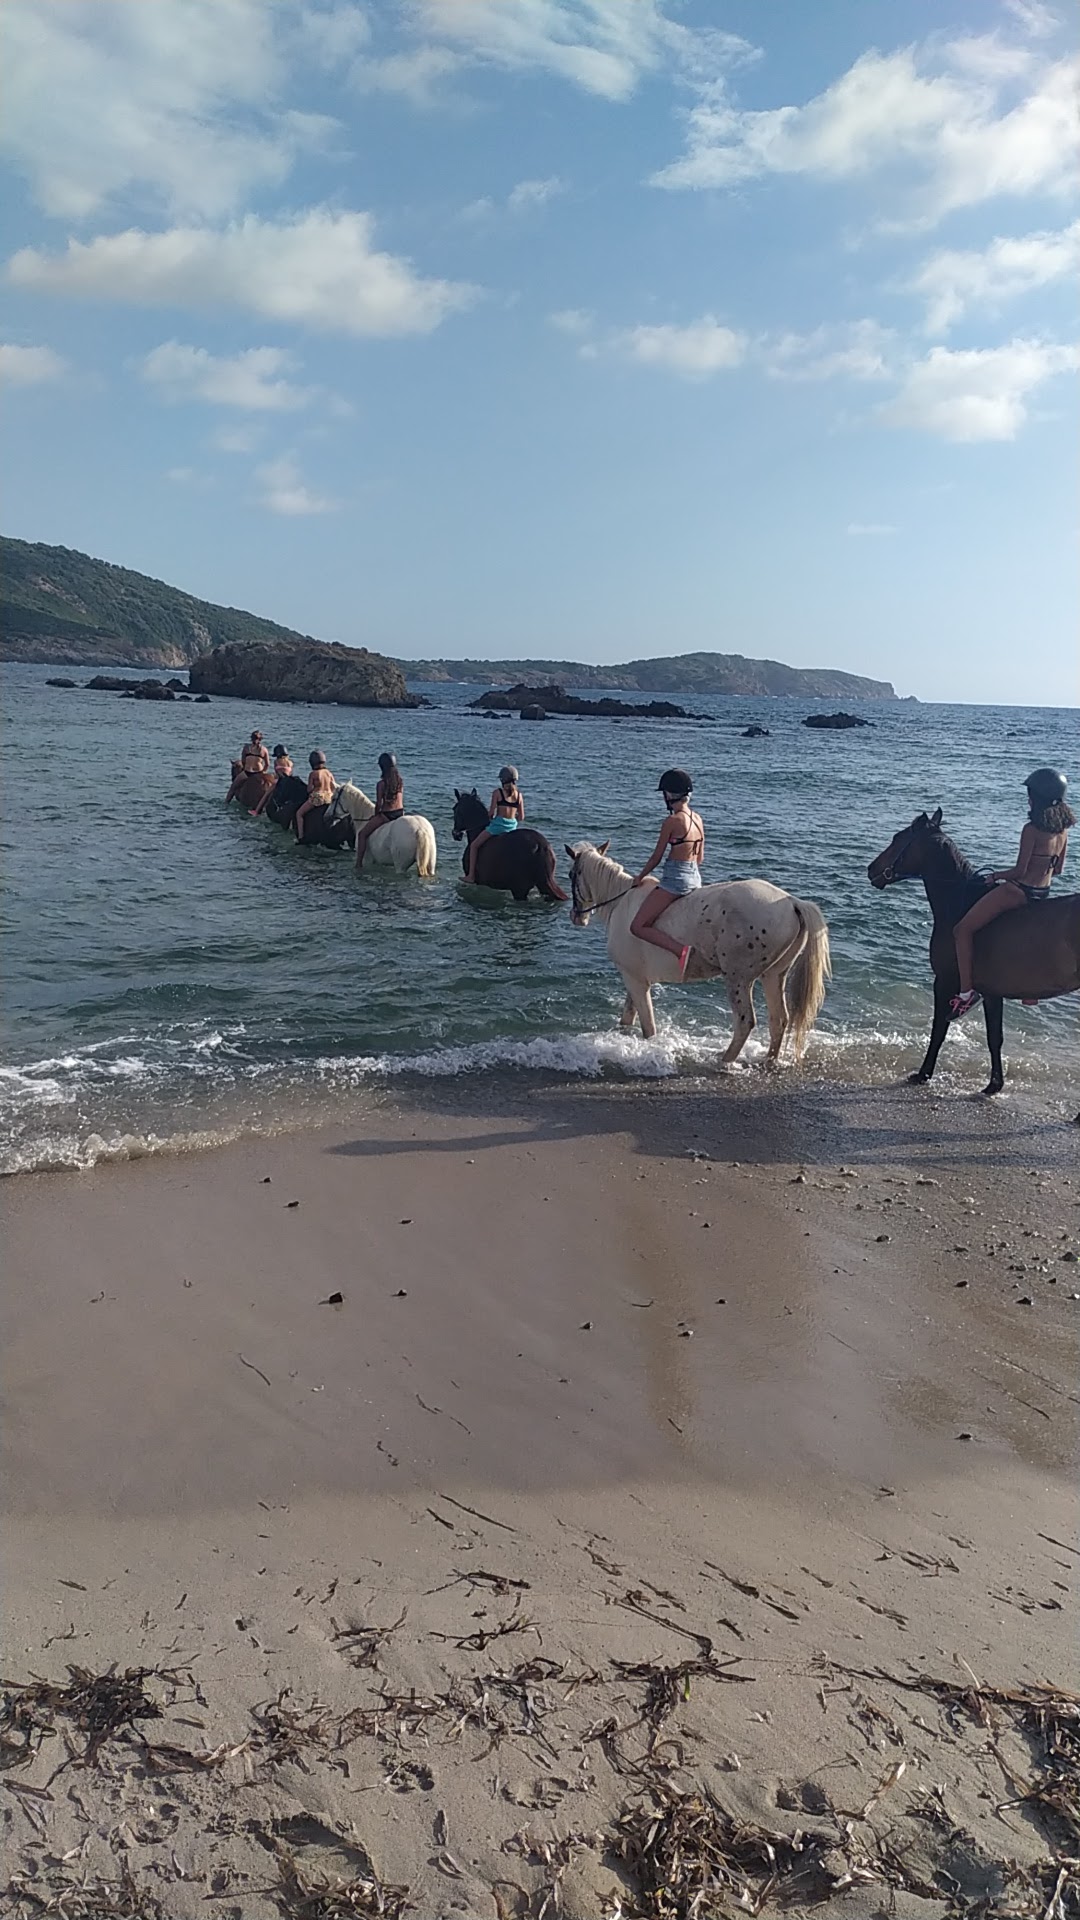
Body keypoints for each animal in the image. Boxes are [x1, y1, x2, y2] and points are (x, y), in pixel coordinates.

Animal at [566, 841, 830, 1064]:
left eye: (570, 874)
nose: (577, 917)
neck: (621, 903)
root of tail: (791, 902)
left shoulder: (635, 980)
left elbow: (648, 1027)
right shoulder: (636, 979)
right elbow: (628, 1018)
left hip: (739, 979)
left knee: (745, 1021)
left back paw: (724, 1061)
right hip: (774, 975)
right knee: (779, 1019)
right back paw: (768, 1060)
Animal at [868, 809, 1080, 1099]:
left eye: (897, 837)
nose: (871, 869)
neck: (960, 902)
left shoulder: (945, 982)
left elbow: (939, 1030)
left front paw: (923, 1074)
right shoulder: (992, 993)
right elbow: (994, 1038)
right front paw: (994, 1085)